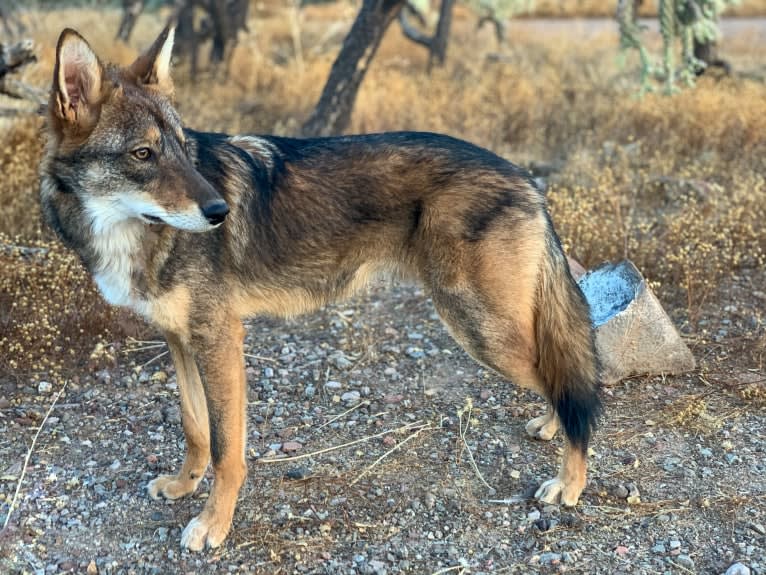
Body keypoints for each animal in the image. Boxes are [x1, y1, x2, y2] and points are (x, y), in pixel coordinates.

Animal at [42, 25, 604, 548]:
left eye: (182, 150)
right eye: (143, 154)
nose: (221, 212)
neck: (128, 235)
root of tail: (527, 178)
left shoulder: (220, 340)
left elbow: (227, 451)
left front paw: (212, 524)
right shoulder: (180, 340)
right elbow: (195, 428)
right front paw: (184, 485)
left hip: (479, 331)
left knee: (572, 386)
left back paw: (569, 483)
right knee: (563, 382)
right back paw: (551, 428)